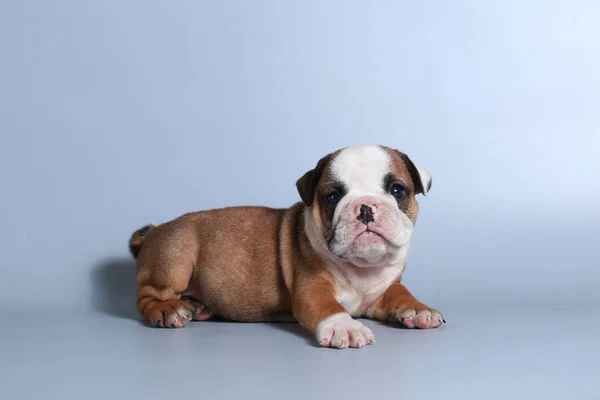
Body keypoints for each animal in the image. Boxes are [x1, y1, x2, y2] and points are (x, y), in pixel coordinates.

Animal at [129, 145, 442, 348]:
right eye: (332, 197)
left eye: (397, 190)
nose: (365, 208)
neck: (363, 267)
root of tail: (155, 230)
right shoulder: (311, 288)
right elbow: (327, 306)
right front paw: (346, 327)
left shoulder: (386, 289)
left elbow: (402, 293)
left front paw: (419, 310)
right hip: (176, 256)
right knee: (147, 297)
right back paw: (169, 310)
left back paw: (198, 307)